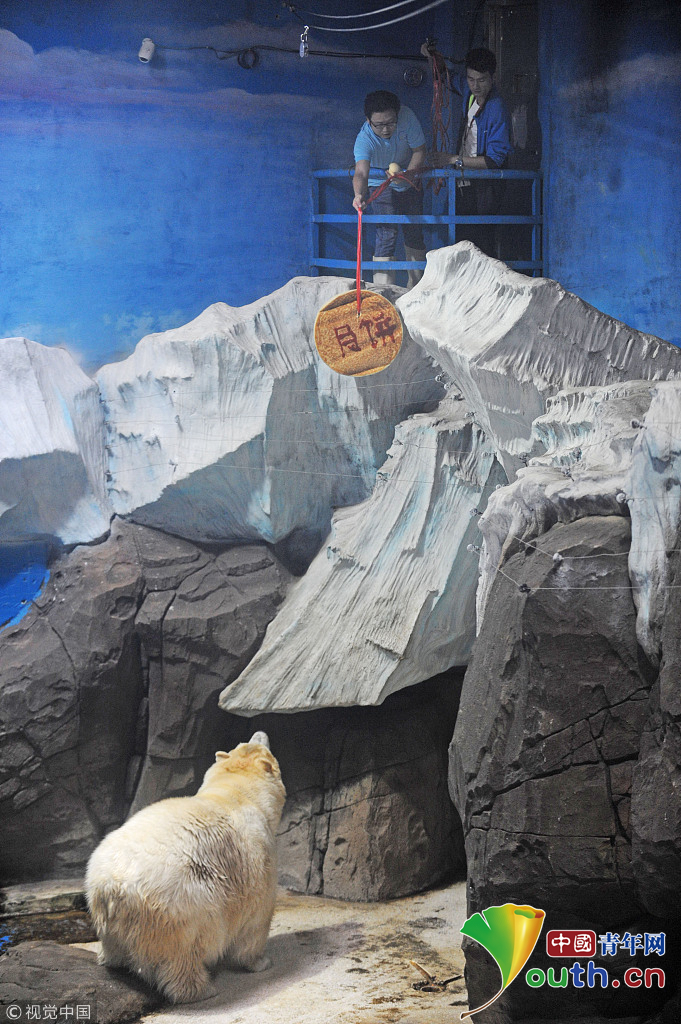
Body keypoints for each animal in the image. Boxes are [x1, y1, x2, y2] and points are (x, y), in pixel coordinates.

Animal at [85, 731, 286, 1004]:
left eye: (245, 742)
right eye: (257, 744)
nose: (260, 732)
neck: (238, 794)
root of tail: (112, 885)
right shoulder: (259, 860)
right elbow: (257, 919)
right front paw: (261, 961)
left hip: (103, 906)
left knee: (114, 945)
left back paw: (111, 960)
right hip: (180, 904)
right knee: (185, 952)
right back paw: (202, 989)